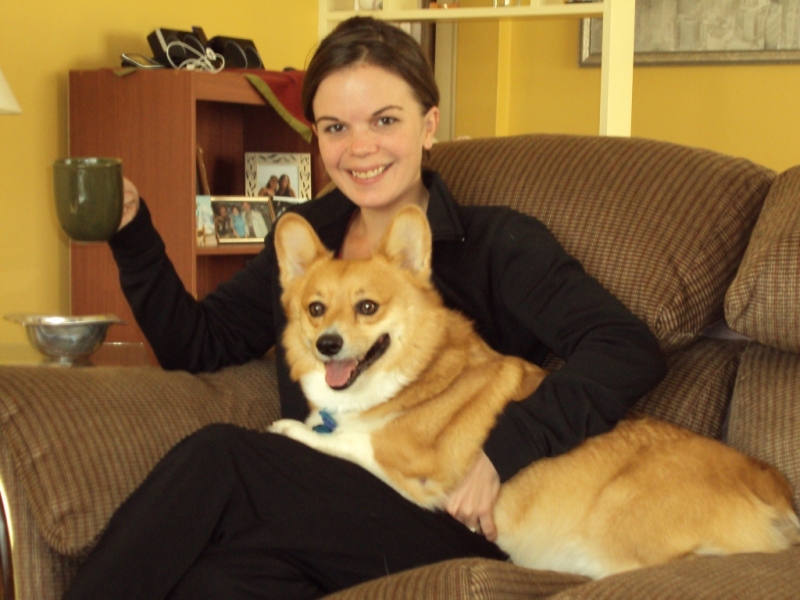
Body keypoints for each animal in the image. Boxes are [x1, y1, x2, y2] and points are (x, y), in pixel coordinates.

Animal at [270, 205, 800, 576]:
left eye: (368, 307)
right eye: (315, 309)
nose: (327, 344)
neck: (416, 373)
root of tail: (772, 489)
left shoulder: (414, 469)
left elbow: (342, 440)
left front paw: (288, 428)